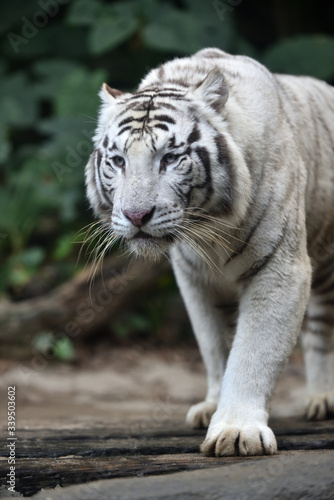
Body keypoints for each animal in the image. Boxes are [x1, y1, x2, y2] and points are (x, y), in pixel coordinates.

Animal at [85, 47, 334, 458]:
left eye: (170, 158)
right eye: (118, 161)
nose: (136, 215)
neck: (209, 228)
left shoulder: (280, 270)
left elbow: (253, 352)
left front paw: (237, 430)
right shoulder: (195, 278)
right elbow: (215, 346)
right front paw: (212, 407)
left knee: (321, 329)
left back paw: (323, 399)